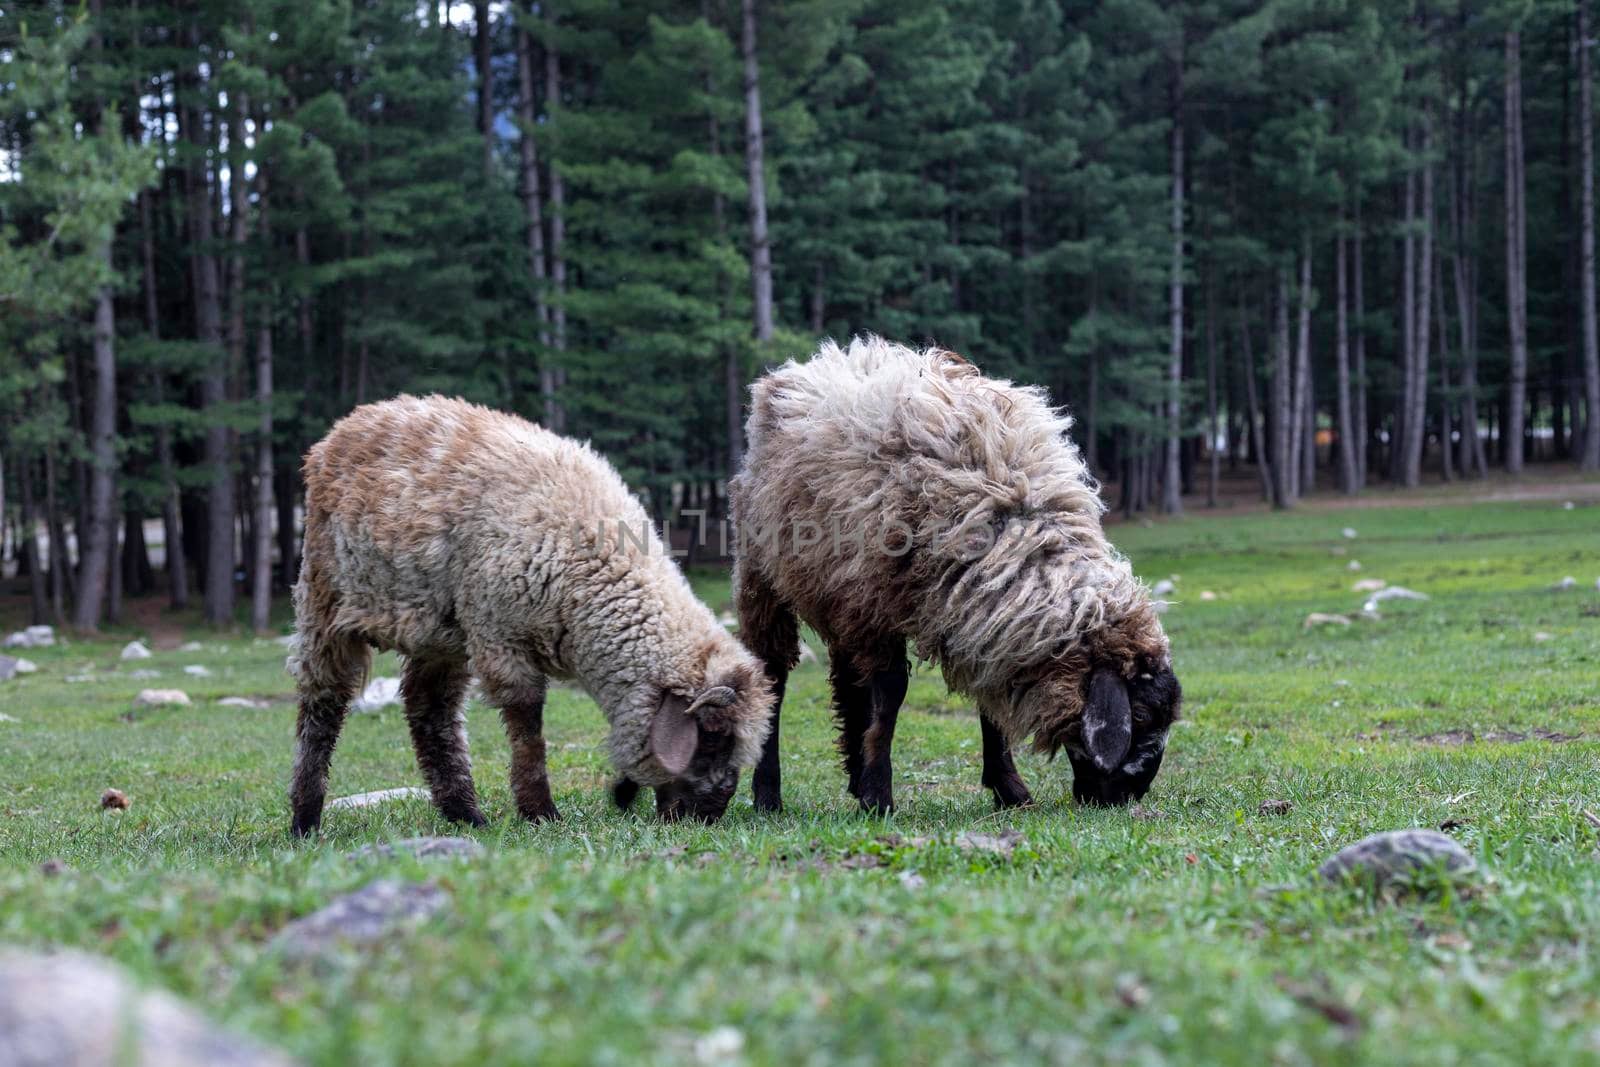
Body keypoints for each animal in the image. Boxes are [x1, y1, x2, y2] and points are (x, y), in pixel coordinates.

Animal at [289, 396, 774, 838]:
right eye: (712, 737)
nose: (709, 816)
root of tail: (353, 421)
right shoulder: (498, 634)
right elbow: (528, 728)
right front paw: (540, 812)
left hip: (438, 628)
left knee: (430, 708)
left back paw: (465, 814)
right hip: (323, 597)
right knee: (323, 703)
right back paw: (304, 819)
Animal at [732, 337, 1184, 812]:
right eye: (1139, 714)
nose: (1132, 793)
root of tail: (818, 360)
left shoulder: (984, 615)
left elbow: (988, 701)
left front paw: (1009, 788)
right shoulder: (879, 603)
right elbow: (890, 695)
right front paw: (880, 795)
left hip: (839, 593)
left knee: (849, 683)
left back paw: (854, 776)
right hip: (765, 576)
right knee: (774, 674)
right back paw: (769, 794)